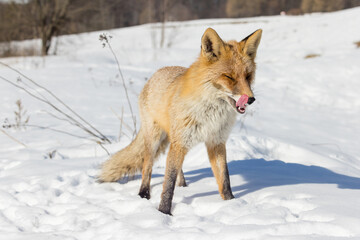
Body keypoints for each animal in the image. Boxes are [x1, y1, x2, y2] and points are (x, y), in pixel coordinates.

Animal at [100, 27, 262, 215]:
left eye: (248, 76)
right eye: (228, 76)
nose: (251, 99)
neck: (211, 113)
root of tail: (156, 73)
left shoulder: (216, 141)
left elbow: (225, 179)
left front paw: (231, 204)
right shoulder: (182, 141)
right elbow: (168, 184)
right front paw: (163, 213)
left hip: (175, 141)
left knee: (178, 168)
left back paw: (183, 185)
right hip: (156, 139)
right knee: (147, 166)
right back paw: (144, 193)